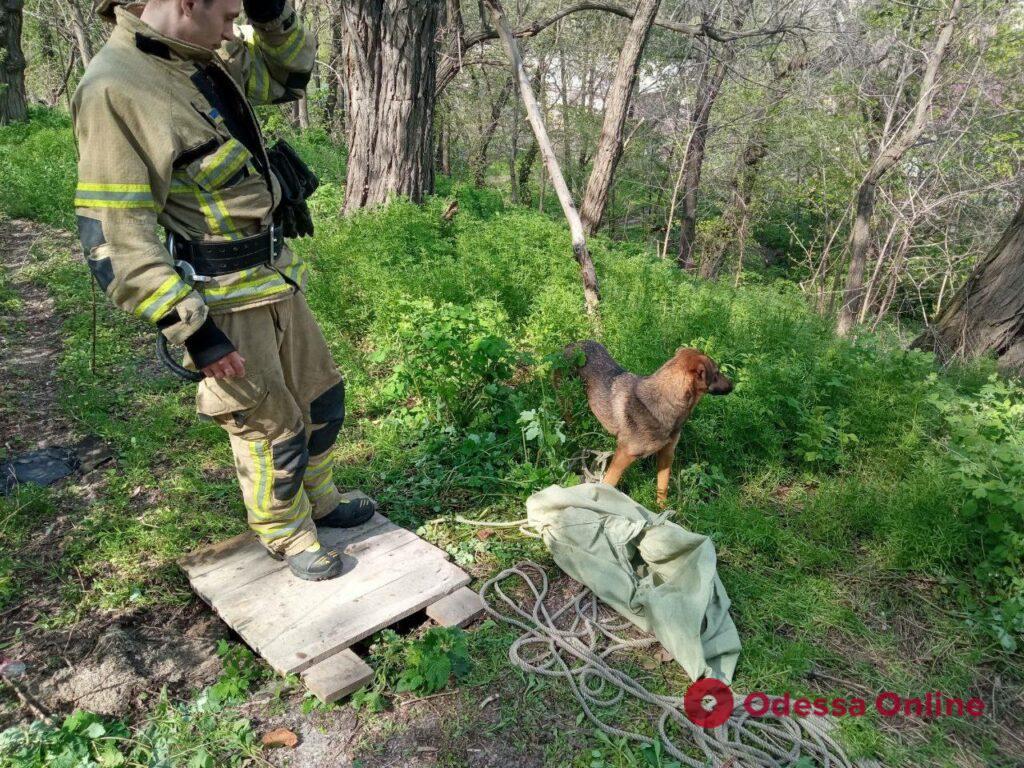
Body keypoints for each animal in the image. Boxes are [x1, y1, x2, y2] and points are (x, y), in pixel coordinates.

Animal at [561, 342, 737, 505]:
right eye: (717, 373)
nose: (733, 385)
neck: (664, 402)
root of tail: (573, 344)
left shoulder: (667, 454)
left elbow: (662, 487)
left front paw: (662, 510)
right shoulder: (622, 457)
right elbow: (609, 484)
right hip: (567, 396)